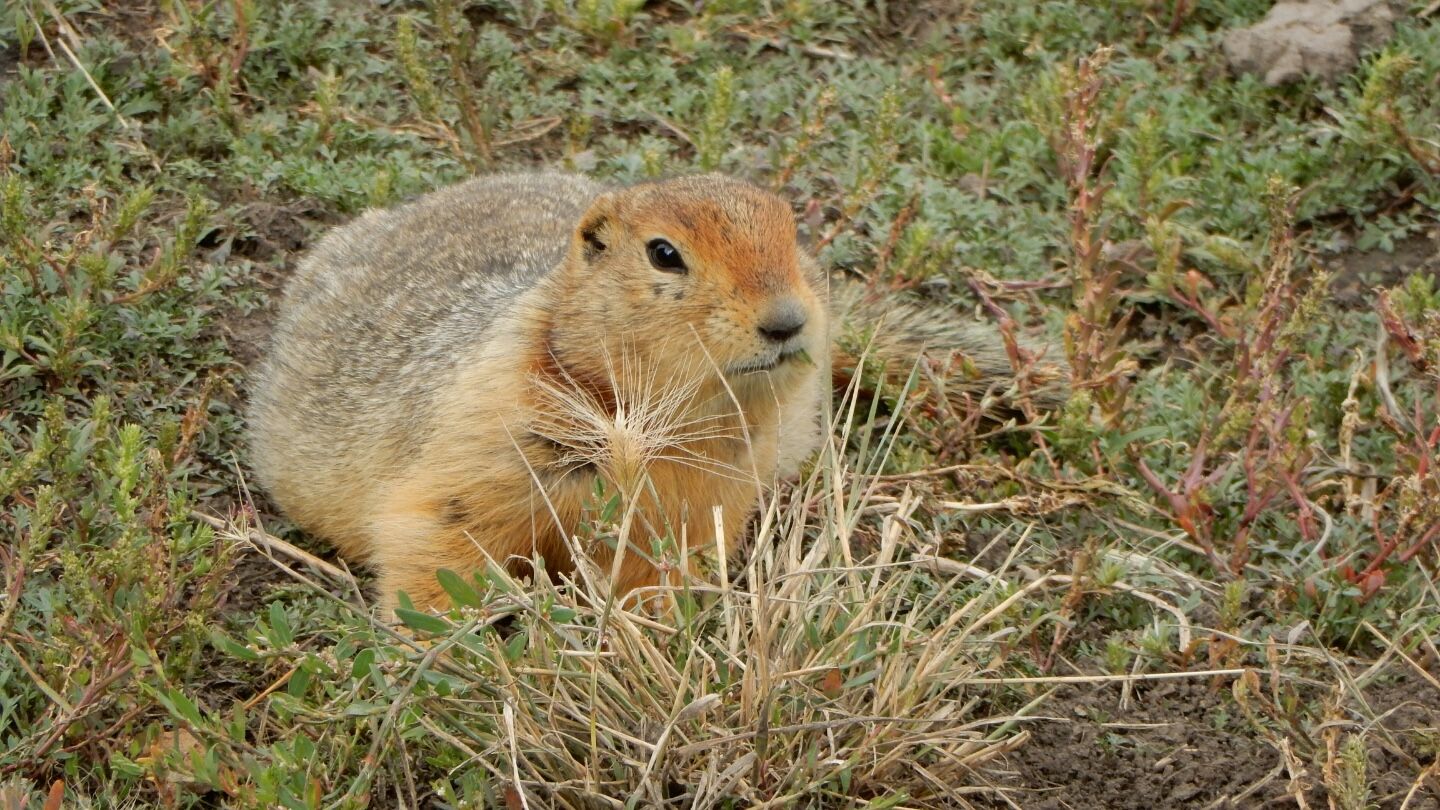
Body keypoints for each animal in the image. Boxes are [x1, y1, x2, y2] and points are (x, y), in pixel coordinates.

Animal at [247, 171, 1068, 613]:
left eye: (791, 231)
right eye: (664, 253)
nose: (788, 320)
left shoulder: (705, 496)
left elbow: (662, 567)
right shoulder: (483, 436)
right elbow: (438, 536)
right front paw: (447, 647)